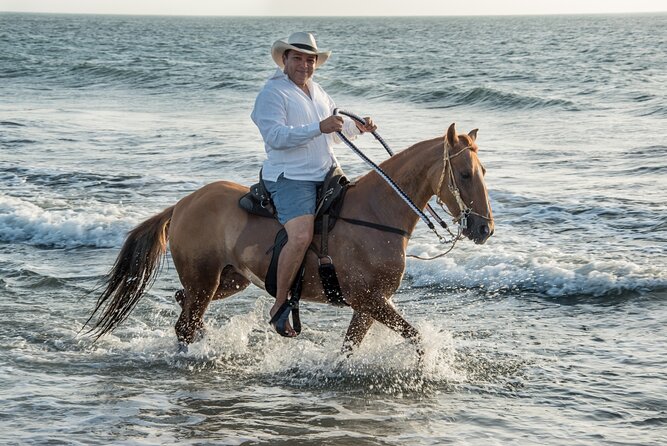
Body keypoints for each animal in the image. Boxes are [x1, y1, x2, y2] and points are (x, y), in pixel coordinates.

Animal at [86, 123, 494, 355]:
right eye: (464, 173)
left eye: (483, 171)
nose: (484, 229)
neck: (378, 214)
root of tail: (183, 203)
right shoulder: (370, 300)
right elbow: (416, 338)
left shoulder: (367, 306)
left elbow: (349, 349)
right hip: (204, 279)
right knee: (186, 323)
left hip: (228, 279)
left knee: (184, 309)